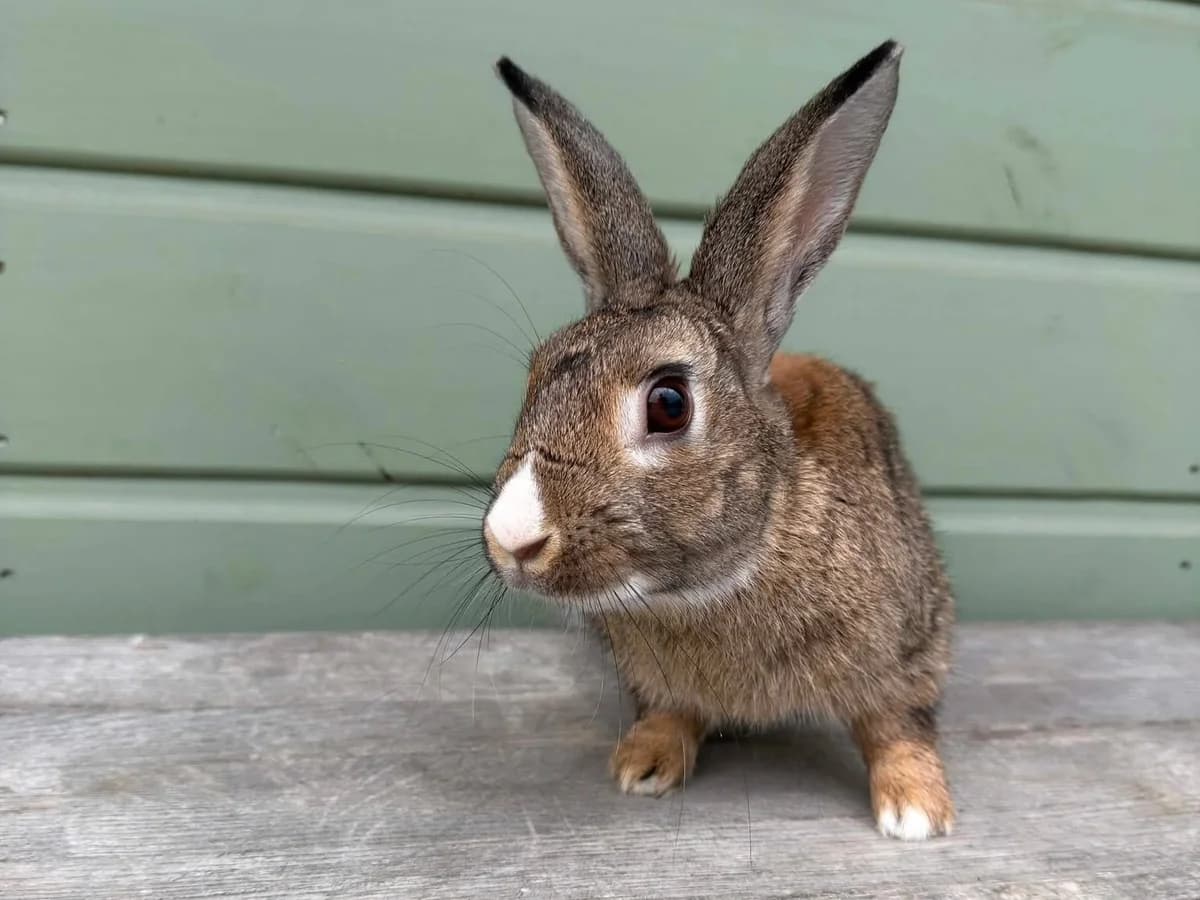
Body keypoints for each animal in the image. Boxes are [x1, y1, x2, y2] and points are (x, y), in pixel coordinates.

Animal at [482, 40, 955, 841]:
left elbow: (897, 724)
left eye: (669, 404)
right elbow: (671, 711)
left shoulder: (906, 651)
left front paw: (917, 810)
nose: (511, 539)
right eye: (536, 377)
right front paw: (642, 764)